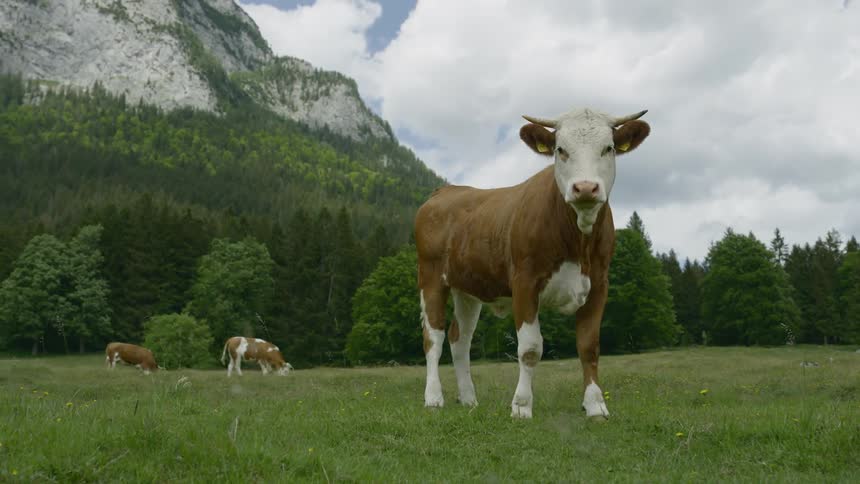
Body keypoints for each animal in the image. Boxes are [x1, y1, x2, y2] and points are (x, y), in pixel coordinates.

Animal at [414, 107, 650, 419]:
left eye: (608, 148)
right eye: (560, 150)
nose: (585, 187)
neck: (578, 243)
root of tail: (445, 191)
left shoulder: (599, 285)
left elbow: (589, 346)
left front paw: (595, 405)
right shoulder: (524, 282)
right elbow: (529, 348)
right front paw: (522, 405)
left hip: (468, 289)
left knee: (459, 340)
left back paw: (468, 398)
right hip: (430, 277)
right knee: (434, 337)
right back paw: (433, 397)